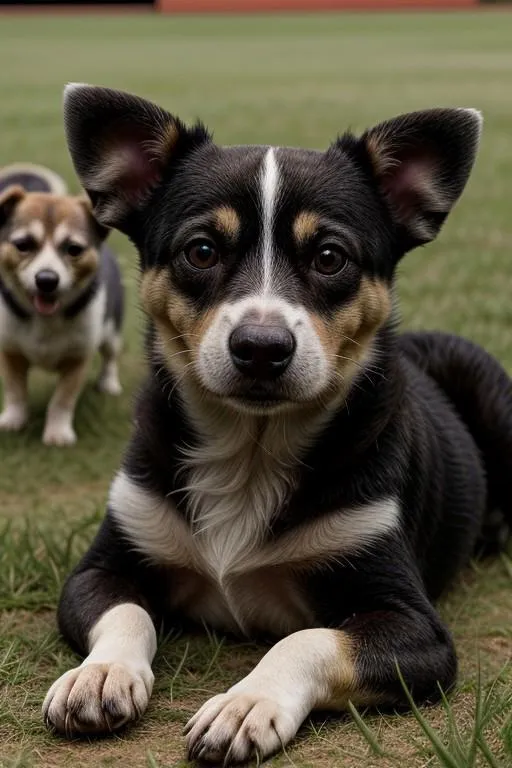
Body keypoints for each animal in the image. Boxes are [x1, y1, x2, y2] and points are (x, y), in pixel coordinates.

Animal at [0, 165, 124, 448]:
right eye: (23, 245)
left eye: (74, 249)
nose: (47, 280)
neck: (45, 318)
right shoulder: (10, 351)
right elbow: (14, 390)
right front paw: (14, 419)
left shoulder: (77, 359)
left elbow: (62, 399)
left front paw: (57, 432)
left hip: (111, 330)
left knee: (110, 355)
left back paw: (109, 383)